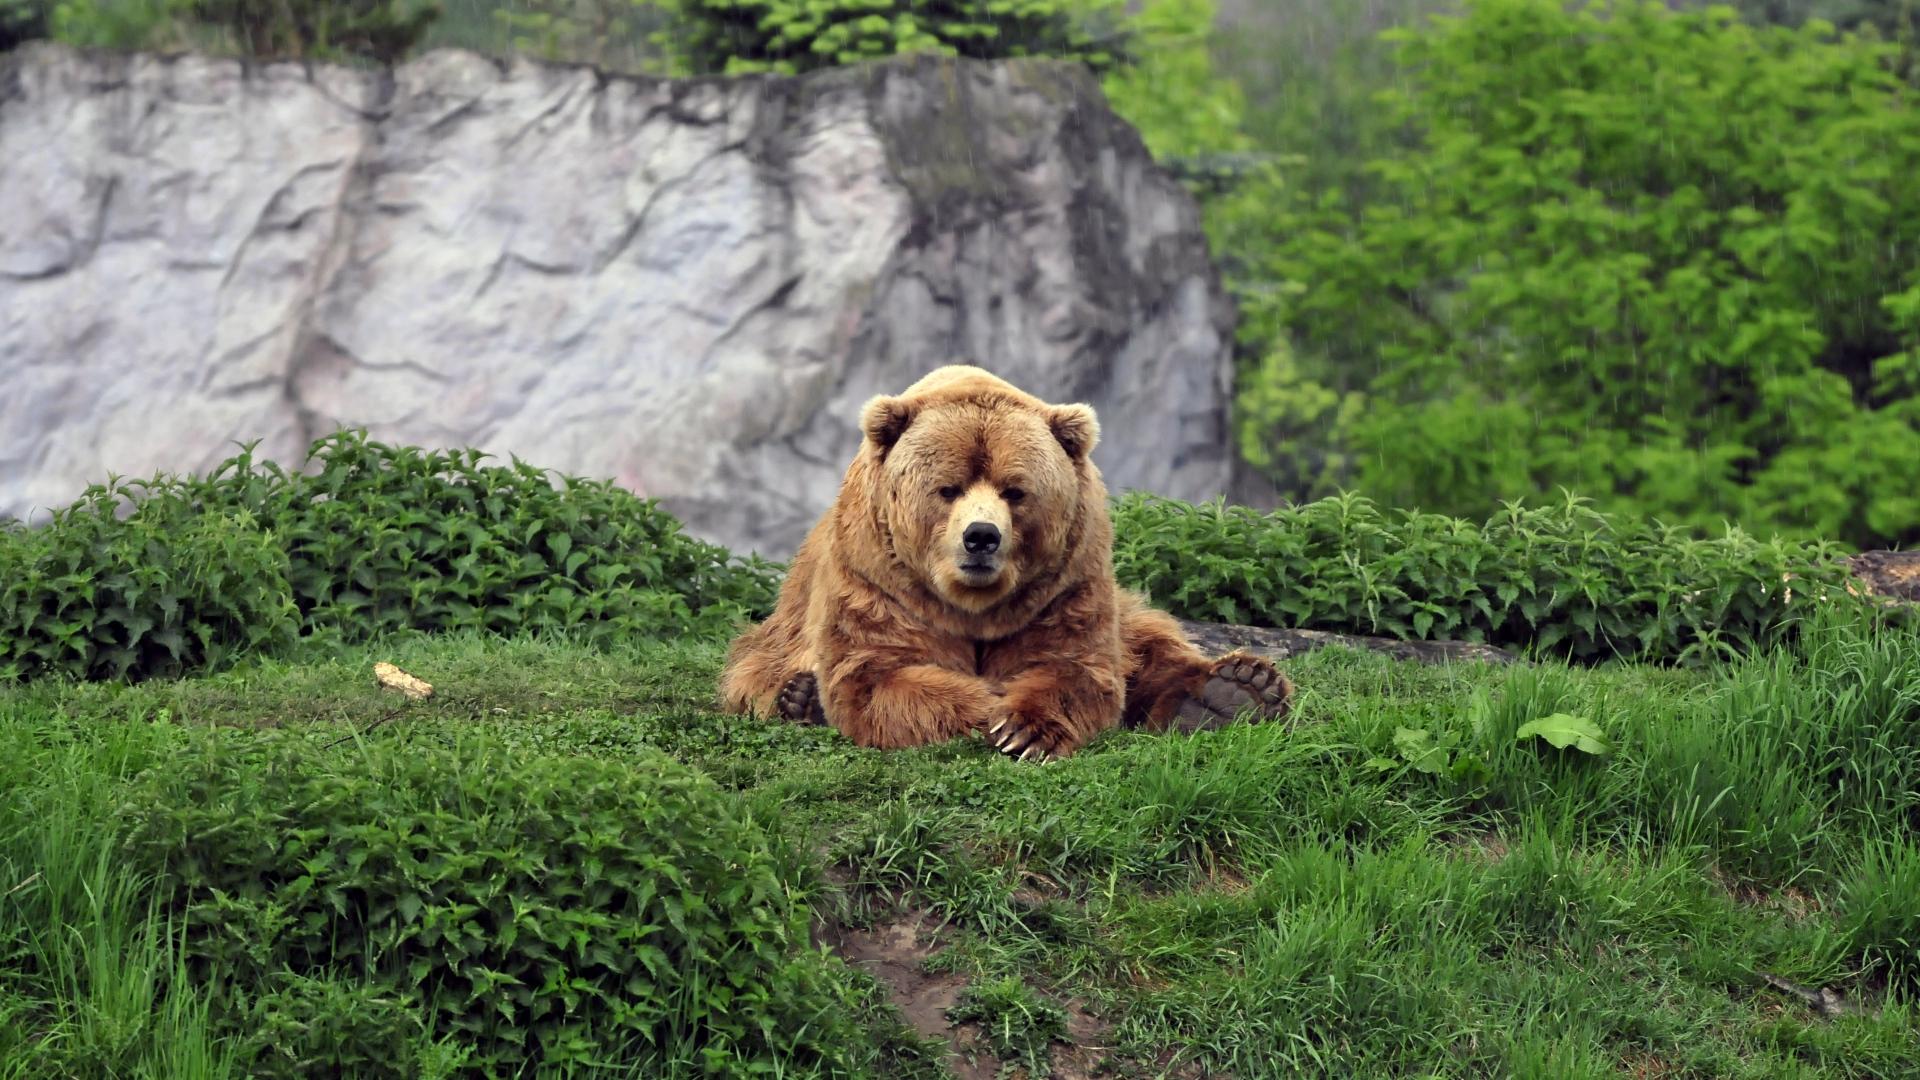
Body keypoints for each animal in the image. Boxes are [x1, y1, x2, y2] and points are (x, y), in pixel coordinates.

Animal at [718, 365, 1293, 760]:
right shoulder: (877, 582)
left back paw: (1236, 689)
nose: (981, 537)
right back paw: (798, 699)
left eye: (1015, 490)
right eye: (947, 488)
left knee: (1150, 642)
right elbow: (881, 674)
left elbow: (1077, 667)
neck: (972, 605)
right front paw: (988, 708)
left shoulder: (1065, 585)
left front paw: (1025, 728)